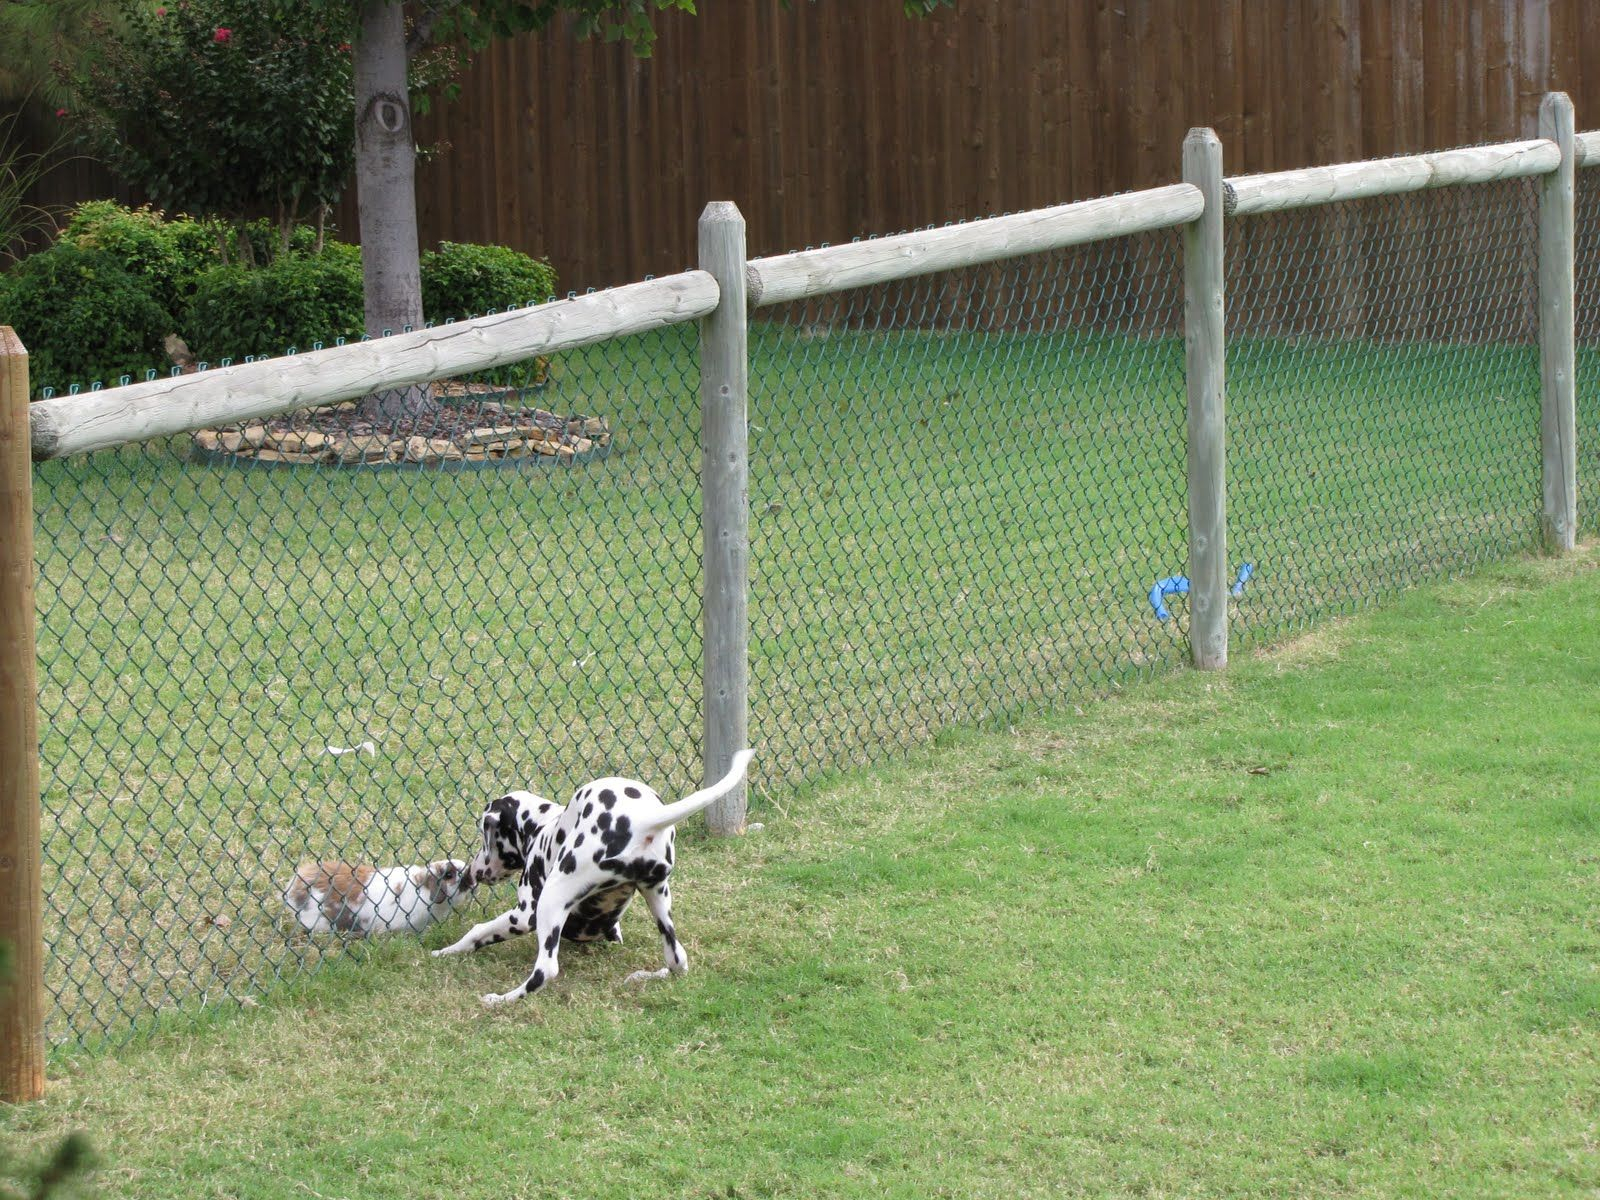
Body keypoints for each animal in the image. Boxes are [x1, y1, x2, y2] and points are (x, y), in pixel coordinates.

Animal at [432, 748, 755, 1011]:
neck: (543, 826)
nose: (471, 872)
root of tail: (643, 819)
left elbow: (476, 932)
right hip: (659, 900)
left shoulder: (524, 915)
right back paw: (644, 975)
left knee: (545, 971)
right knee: (678, 960)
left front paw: (445, 951)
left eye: (484, 835)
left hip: (552, 898)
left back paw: (501, 1000)